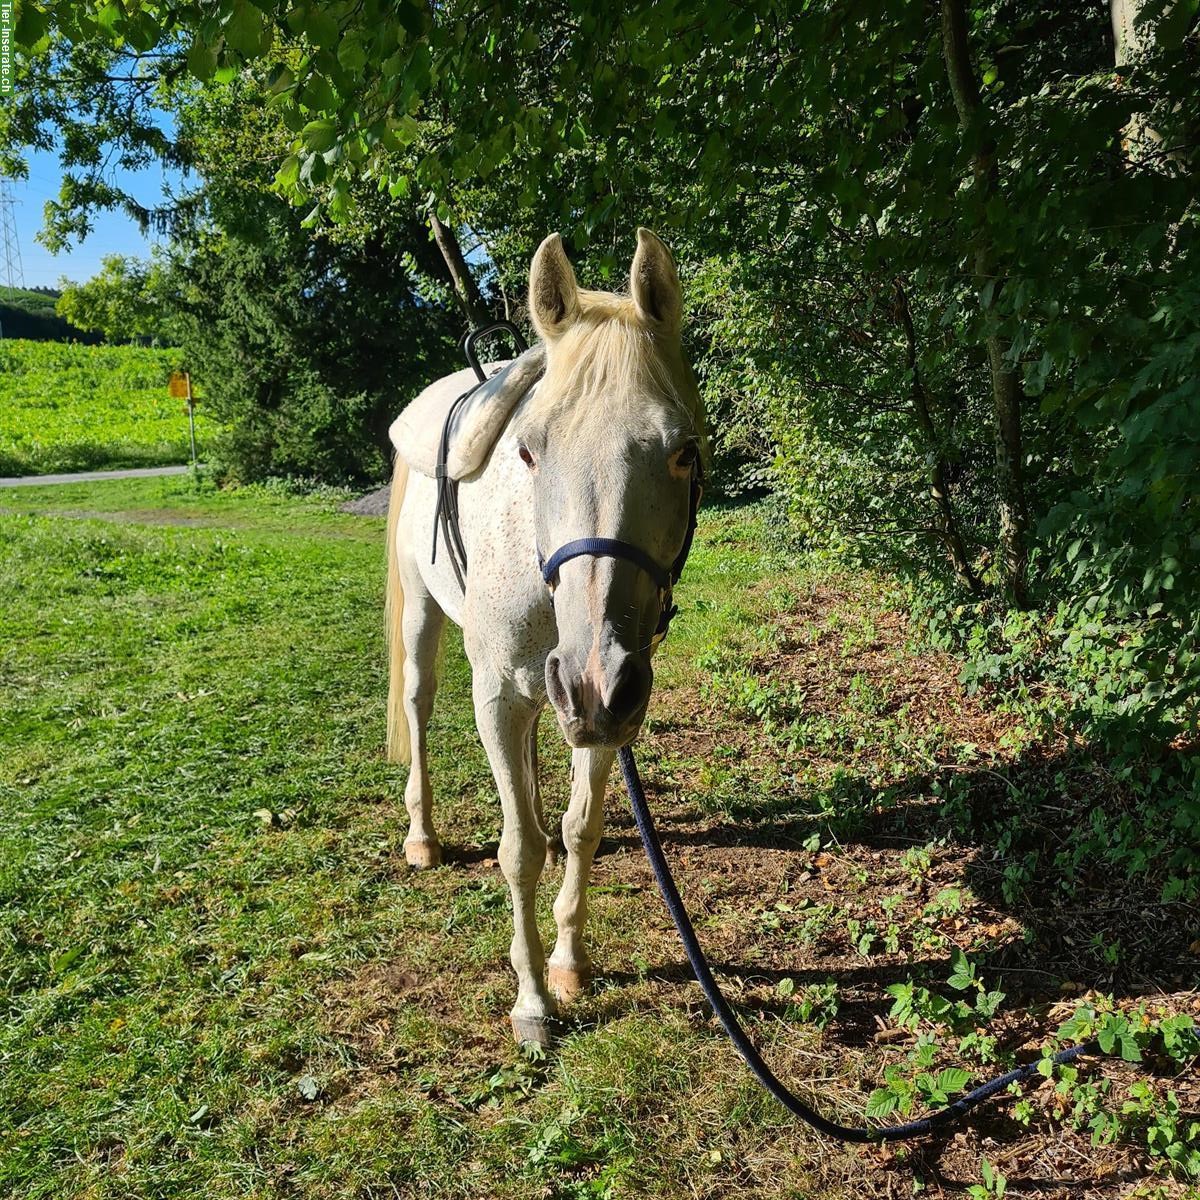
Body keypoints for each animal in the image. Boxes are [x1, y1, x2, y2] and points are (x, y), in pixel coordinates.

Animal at [384, 229, 700, 1046]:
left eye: (683, 450)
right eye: (528, 452)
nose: (590, 677)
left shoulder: (613, 707)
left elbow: (581, 825)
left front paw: (568, 962)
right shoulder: (497, 696)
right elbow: (517, 849)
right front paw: (531, 1001)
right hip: (425, 618)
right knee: (418, 706)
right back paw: (422, 836)